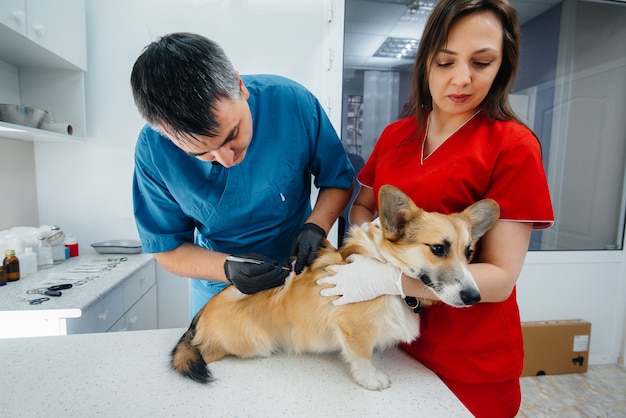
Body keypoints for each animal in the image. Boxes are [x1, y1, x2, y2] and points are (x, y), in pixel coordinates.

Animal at [169, 185, 498, 390]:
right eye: (438, 249)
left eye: (468, 252)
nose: (474, 297)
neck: (387, 267)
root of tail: (198, 319)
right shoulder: (351, 327)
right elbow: (362, 356)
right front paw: (371, 379)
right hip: (253, 344)